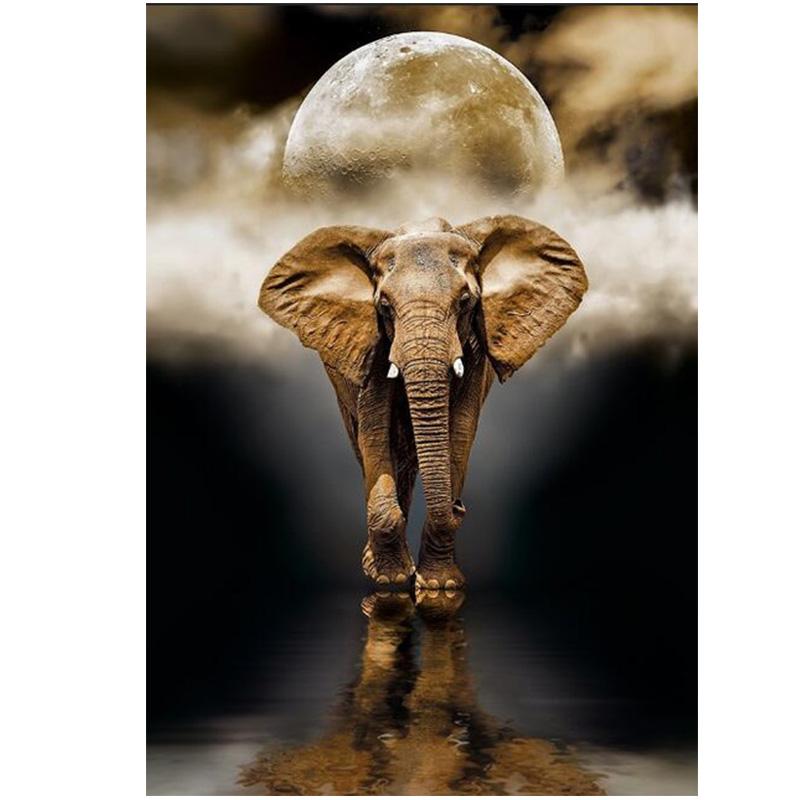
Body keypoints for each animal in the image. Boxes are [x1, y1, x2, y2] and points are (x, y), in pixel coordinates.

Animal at [259, 215, 587, 589]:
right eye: (384, 306)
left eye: (465, 302)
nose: (459, 506)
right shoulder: (374, 343)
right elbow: (374, 430)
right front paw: (390, 580)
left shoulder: (474, 350)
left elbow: (460, 430)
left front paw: (438, 587)